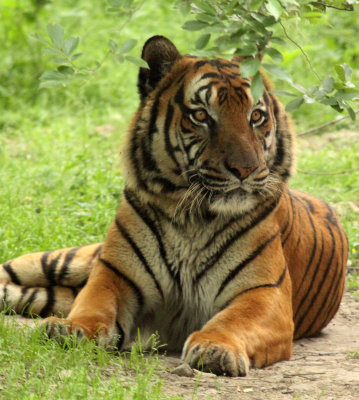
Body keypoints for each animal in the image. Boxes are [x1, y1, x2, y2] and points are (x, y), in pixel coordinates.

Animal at [0, 36, 348, 376]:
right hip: (67, 260)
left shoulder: (263, 291)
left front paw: (215, 348)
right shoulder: (113, 274)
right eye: (201, 116)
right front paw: (70, 329)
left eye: (256, 116)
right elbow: (93, 307)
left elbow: (233, 321)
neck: (193, 218)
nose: (245, 170)